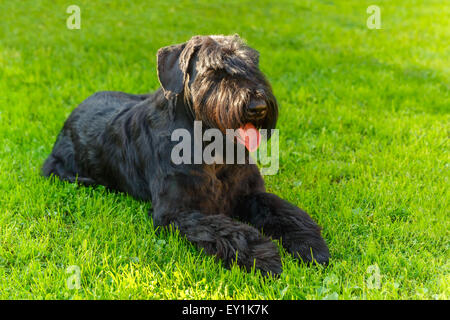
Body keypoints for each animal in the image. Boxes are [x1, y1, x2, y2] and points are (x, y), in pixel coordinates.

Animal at [43, 35, 326, 276]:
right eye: (215, 71)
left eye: (252, 64)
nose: (258, 106)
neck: (212, 149)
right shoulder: (177, 212)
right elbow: (230, 231)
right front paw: (263, 255)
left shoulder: (250, 193)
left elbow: (286, 212)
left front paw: (310, 243)